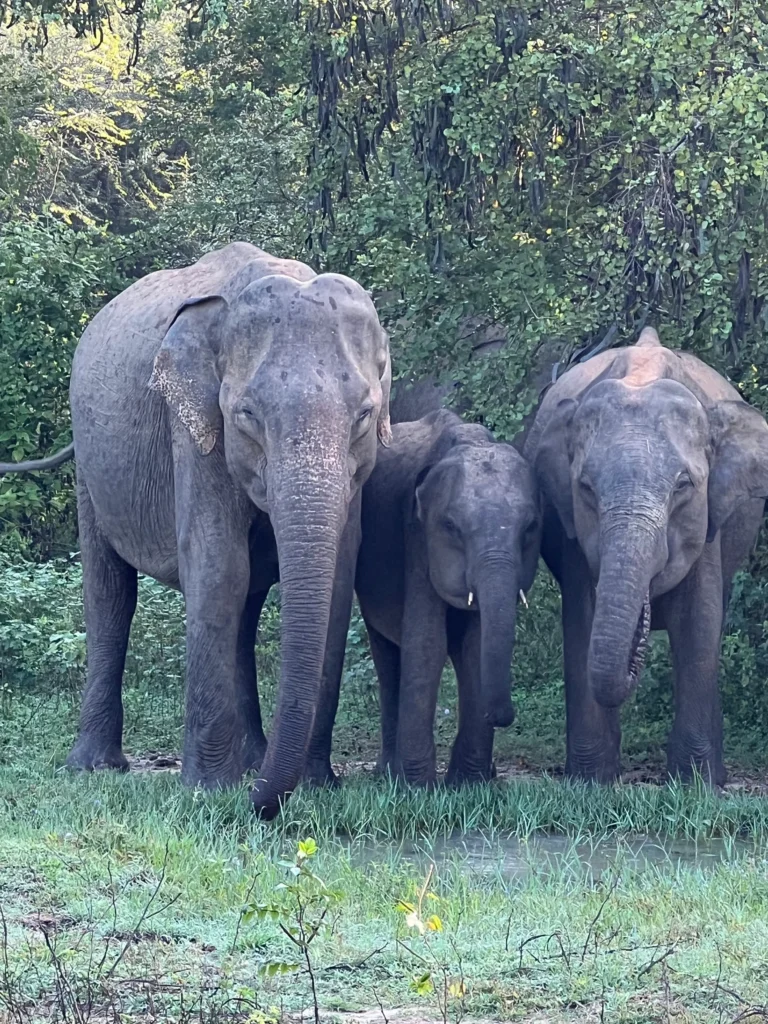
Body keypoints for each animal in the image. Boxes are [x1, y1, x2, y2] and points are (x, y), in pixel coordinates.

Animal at [1, 241, 391, 815]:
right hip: (91, 466)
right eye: (247, 415)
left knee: (245, 607)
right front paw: (209, 790)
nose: (261, 804)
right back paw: (97, 766)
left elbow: (341, 577)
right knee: (110, 592)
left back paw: (252, 760)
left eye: (364, 414)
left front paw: (319, 785)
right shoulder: (191, 424)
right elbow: (216, 563)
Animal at [348, 397, 540, 782]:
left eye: (531, 527)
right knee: (387, 658)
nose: (503, 716)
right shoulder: (417, 539)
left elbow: (473, 647)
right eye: (451, 526)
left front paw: (470, 784)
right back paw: (388, 774)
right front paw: (418, 786)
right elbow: (426, 644)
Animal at [528, 327, 768, 782]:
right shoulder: (574, 536)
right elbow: (583, 616)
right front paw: (590, 781)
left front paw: (694, 784)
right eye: (586, 488)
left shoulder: (708, 521)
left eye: (683, 486)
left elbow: (698, 621)